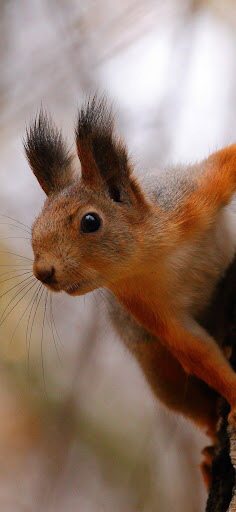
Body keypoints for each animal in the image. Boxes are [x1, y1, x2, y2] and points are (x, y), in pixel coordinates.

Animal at [24, 96, 236, 484]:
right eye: (36, 226)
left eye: (90, 221)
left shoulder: (192, 195)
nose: (43, 272)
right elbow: (193, 350)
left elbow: (228, 161)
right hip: (162, 375)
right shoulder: (142, 302)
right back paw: (209, 453)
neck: (153, 255)